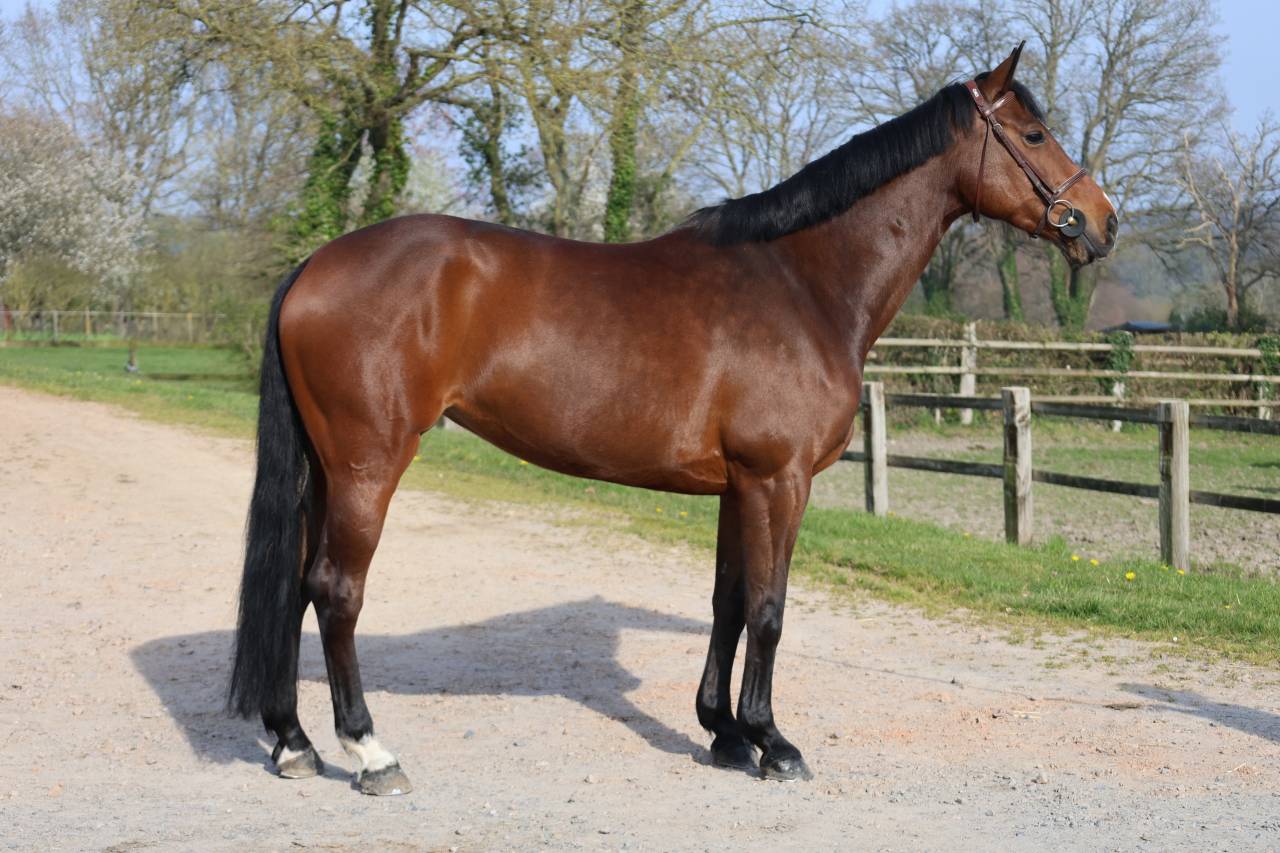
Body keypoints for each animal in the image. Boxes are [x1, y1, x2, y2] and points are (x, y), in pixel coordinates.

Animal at [227, 43, 1117, 795]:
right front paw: (773, 742)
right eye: (1033, 133)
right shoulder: (779, 480)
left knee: (297, 590)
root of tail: (314, 265)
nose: (1103, 221)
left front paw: (722, 732)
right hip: (369, 465)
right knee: (337, 590)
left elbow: (728, 601)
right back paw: (370, 752)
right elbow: (769, 609)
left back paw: (293, 741)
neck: (803, 285)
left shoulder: (737, 486)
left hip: (325, 470)